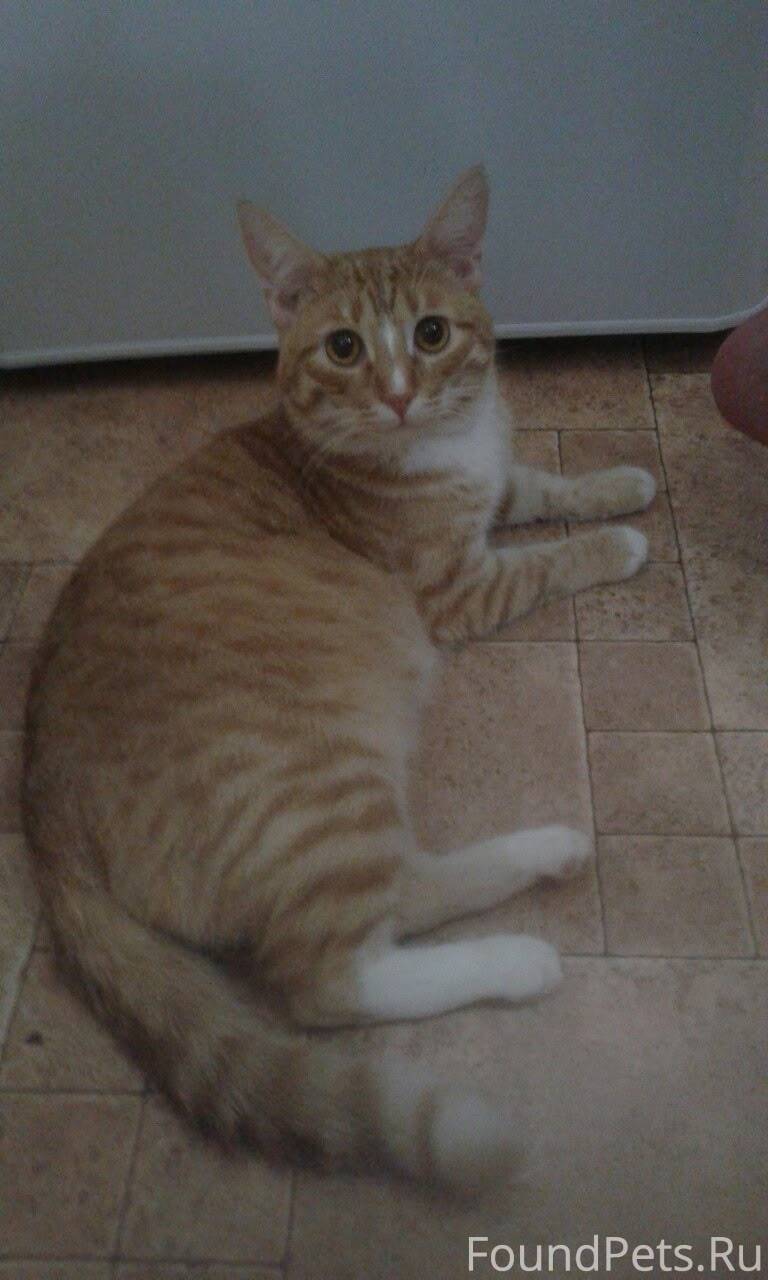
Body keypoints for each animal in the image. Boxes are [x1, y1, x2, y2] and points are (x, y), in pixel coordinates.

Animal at [23, 166, 655, 1189]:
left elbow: (542, 485)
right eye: (345, 348)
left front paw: (624, 482)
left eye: (431, 334)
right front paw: (621, 543)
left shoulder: (495, 490)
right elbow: (551, 557)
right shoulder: (461, 590)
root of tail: (42, 816)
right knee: (332, 980)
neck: (443, 443)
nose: (398, 397)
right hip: (319, 790)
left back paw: (549, 850)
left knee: (411, 891)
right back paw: (520, 960)